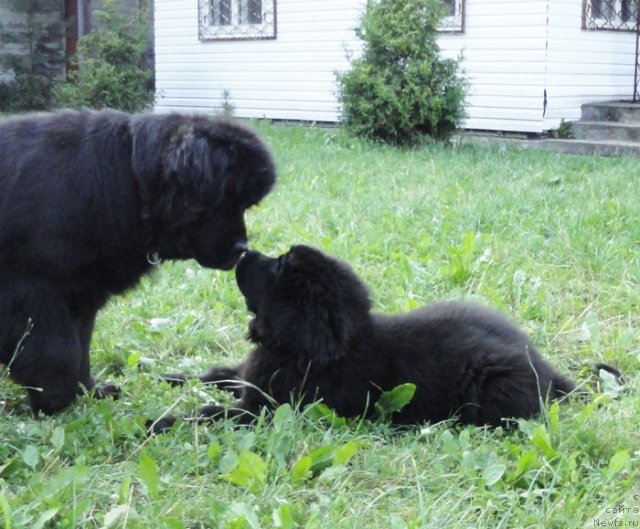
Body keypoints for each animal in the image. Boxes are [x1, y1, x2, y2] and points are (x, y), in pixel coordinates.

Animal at [0, 108, 276, 412]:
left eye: (245, 205)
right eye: (224, 201)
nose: (242, 248)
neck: (128, 181)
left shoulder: (81, 292)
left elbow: (80, 345)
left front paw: (89, 391)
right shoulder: (34, 289)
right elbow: (57, 349)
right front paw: (55, 401)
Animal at [152, 243, 576, 428]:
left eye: (279, 267)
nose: (243, 252)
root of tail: (546, 369)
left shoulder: (264, 411)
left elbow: (214, 413)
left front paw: (162, 421)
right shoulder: (250, 379)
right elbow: (214, 375)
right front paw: (163, 376)